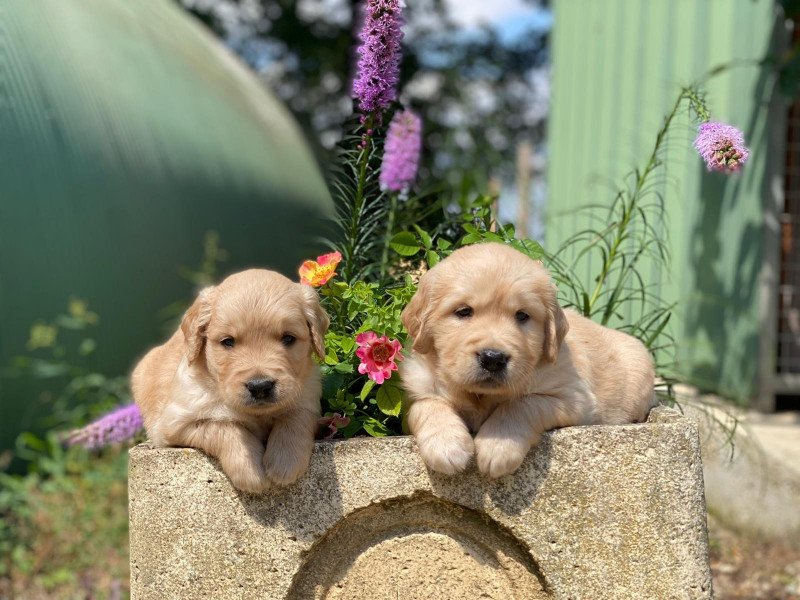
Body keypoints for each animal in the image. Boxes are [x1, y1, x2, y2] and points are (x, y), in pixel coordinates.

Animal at [133, 268, 326, 492]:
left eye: (288, 338)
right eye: (228, 342)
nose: (260, 387)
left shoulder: (307, 395)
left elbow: (295, 417)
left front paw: (285, 462)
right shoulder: (174, 424)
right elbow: (223, 426)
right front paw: (250, 472)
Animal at [400, 241, 656, 480]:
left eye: (522, 315)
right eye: (463, 311)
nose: (493, 359)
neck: (480, 396)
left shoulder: (574, 398)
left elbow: (523, 403)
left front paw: (498, 444)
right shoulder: (422, 383)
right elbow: (425, 405)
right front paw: (445, 445)